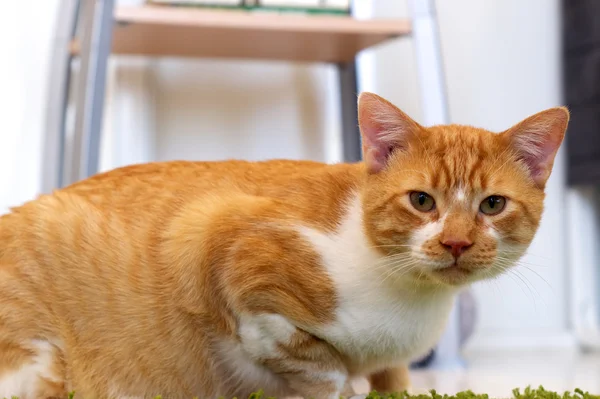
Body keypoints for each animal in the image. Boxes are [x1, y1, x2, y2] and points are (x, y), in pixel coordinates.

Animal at [0, 93, 568, 399]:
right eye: (422, 201)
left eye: (491, 205)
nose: (455, 242)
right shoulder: (217, 240)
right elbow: (324, 366)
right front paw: (343, 385)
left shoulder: (393, 365)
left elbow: (394, 381)